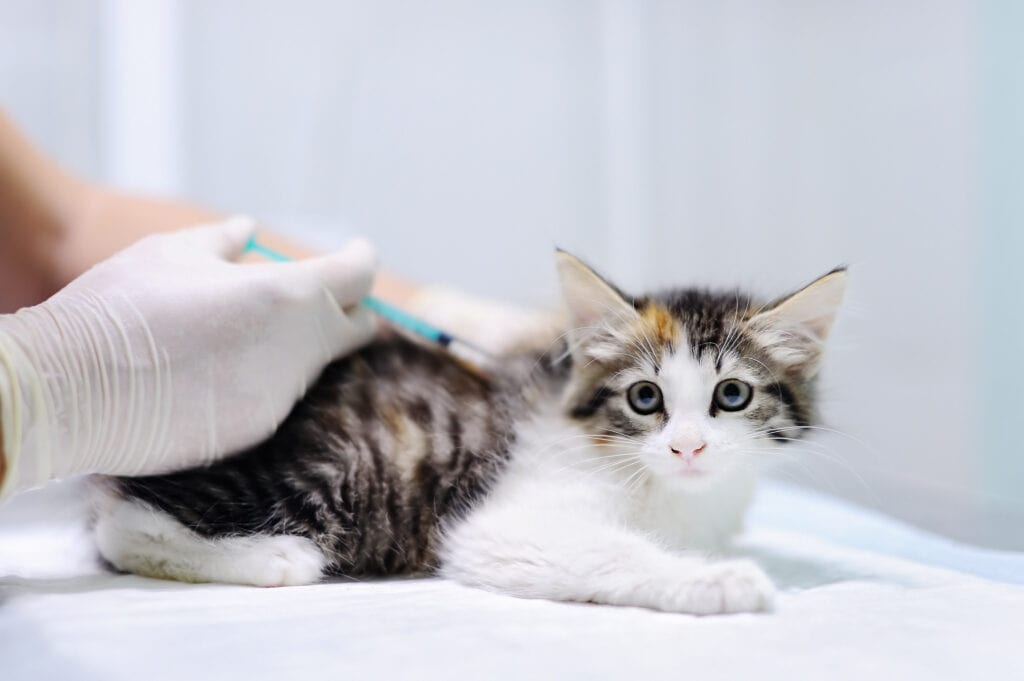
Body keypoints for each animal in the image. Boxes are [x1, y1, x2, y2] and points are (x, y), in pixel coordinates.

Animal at [94, 250, 847, 614]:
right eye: (644, 397)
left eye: (732, 394)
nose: (687, 446)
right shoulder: (506, 524)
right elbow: (612, 553)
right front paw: (721, 580)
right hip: (336, 467)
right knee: (121, 524)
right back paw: (273, 559)